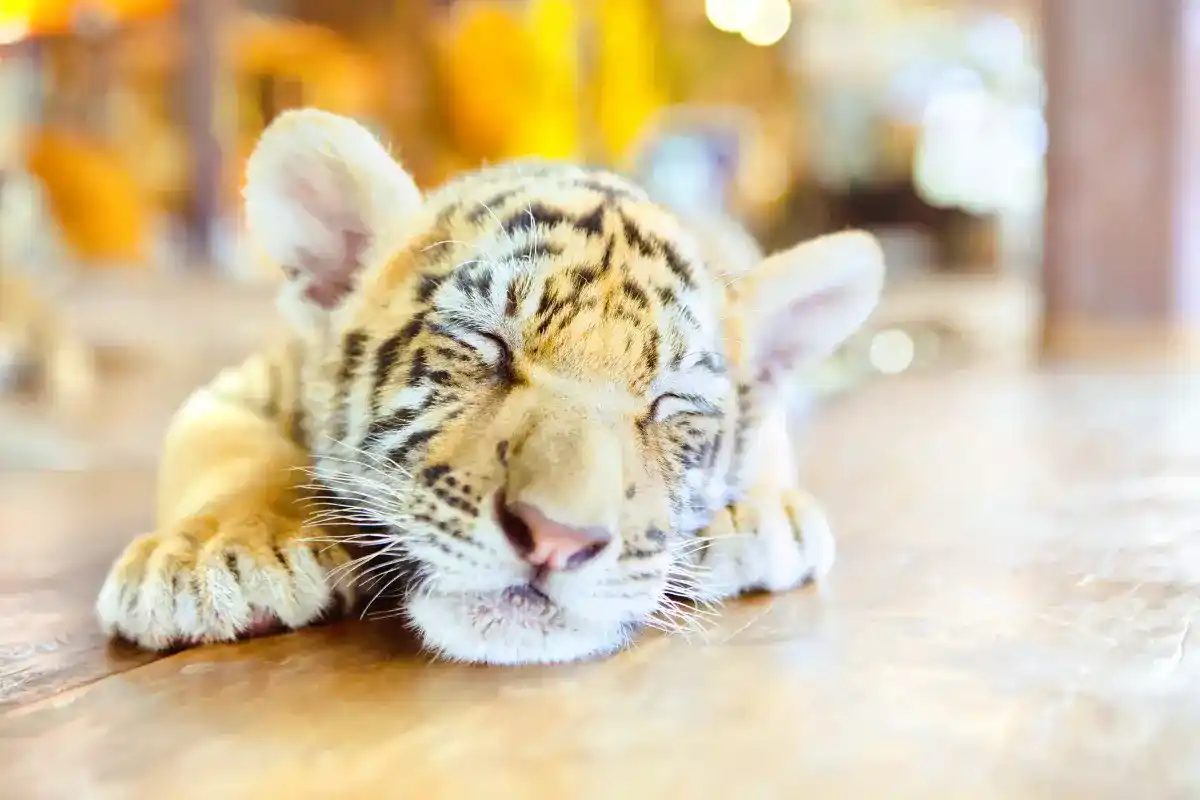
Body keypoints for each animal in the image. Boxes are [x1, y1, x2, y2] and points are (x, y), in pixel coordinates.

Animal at [95, 109, 885, 665]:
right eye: (486, 344)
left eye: (668, 403)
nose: (557, 541)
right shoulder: (238, 387)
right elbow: (231, 453)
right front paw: (215, 556)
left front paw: (761, 513)